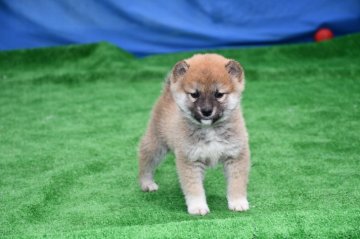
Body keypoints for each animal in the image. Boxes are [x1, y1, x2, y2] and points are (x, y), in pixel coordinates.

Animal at [138, 53, 250, 215]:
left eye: (219, 94)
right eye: (194, 94)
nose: (206, 111)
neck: (210, 129)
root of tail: (167, 93)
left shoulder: (235, 156)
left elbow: (237, 183)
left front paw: (238, 202)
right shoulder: (190, 159)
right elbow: (194, 188)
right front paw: (198, 206)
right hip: (156, 144)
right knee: (146, 162)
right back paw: (146, 183)